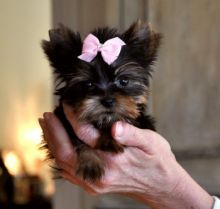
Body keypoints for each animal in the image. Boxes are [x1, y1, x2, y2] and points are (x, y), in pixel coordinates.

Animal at [41, 20, 162, 182]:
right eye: (88, 84)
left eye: (124, 81)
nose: (108, 101)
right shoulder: (62, 117)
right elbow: (77, 137)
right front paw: (90, 163)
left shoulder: (143, 124)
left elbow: (120, 121)